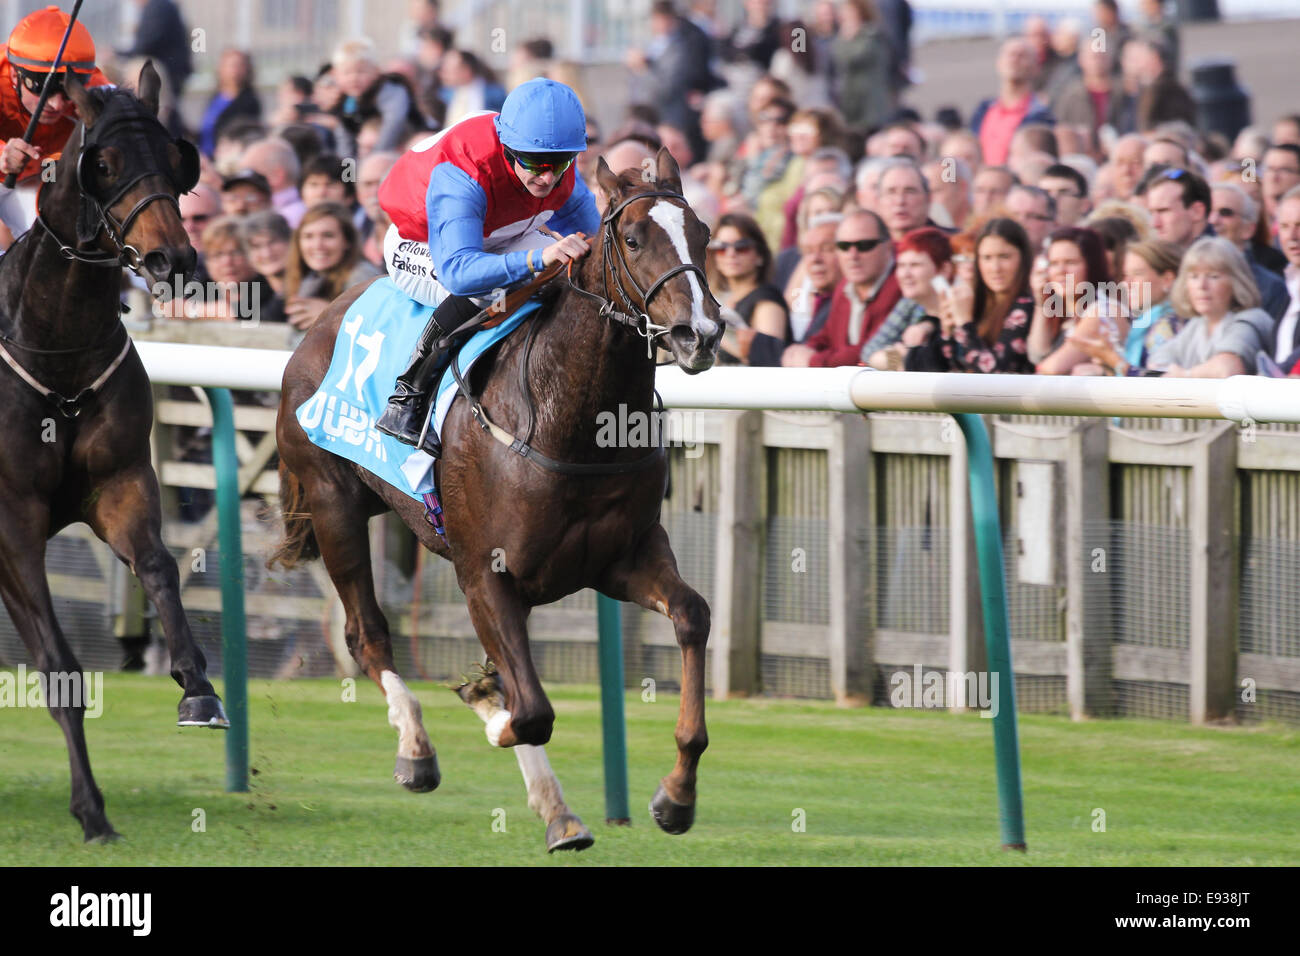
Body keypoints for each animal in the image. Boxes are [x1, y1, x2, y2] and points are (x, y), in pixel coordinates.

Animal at [0, 67, 224, 842]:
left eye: (175, 157)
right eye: (105, 162)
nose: (171, 258)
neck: (58, 350)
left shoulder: (122, 483)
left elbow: (158, 564)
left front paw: (197, 687)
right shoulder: (12, 525)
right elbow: (59, 664)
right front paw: (92, 810)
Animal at [274, 153, 722, 858]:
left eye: (703, 235)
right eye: (632, 239)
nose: (699, 333)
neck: (569, 422)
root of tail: (321, 318)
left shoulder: (620, 558)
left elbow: (691, 616)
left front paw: (676, 796)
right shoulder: (483, 571)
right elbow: (531, 711)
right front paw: (490, 713)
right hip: (332, 504)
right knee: (365, 634)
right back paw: (418, 750)